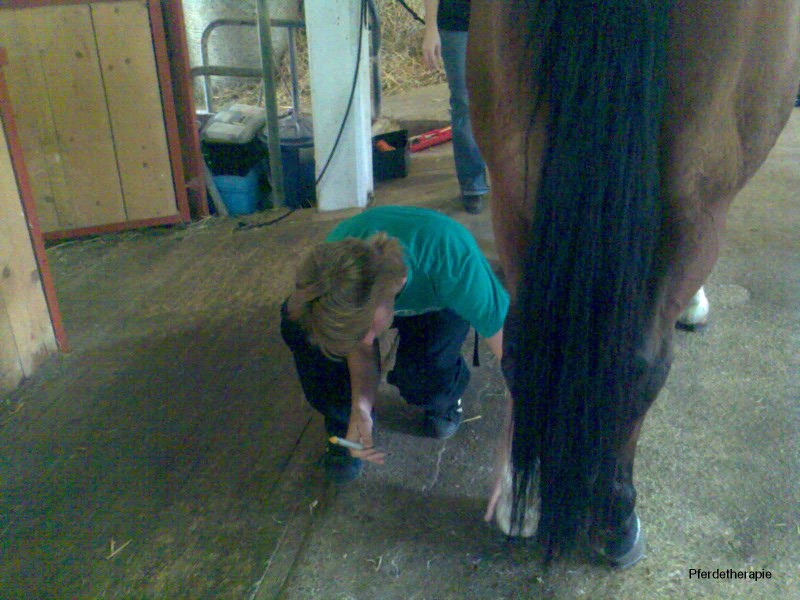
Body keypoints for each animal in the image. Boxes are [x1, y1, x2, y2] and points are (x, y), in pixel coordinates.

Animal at [467, 0, 800, 567]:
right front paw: (694, 306)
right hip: (696, 195)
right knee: (641, 360)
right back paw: (616, 517)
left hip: (513, 183)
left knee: (525, 347)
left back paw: (522, 500)